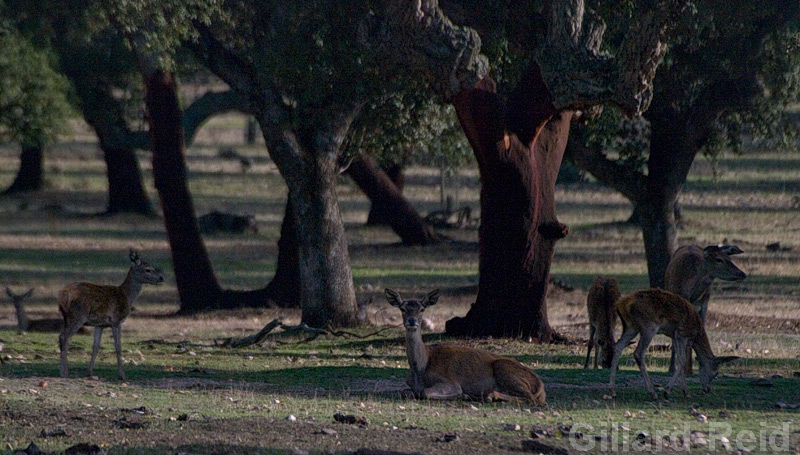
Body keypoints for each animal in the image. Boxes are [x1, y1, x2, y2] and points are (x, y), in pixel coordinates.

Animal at [58, 249, 163, 382]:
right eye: (148, 269)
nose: (161, 278)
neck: (127, 296)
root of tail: (63, 296)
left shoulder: (100, 325)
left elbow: (95, 347)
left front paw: (89, 373)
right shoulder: (116, 321)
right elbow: (118, 347)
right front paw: (122, 375)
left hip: (66, 317)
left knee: (62, 337)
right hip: (77, 315)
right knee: (64, 337)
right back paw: (64, 373)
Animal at [386, 288, 548, 406]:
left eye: (422, 309)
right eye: (402, 309)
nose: (412, 321)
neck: (420, 368)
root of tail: (541, 386)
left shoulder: (450, 382)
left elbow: (425, 393)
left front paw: (462, 395)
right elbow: (405, 391)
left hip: (504, 369)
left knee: (530, 398)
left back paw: (487, 396)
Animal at [664, 246, 744, 374]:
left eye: (729, 258)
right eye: (719, 259)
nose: (742, 274)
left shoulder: (704, 304)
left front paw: (689, 369)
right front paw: (677, 368)